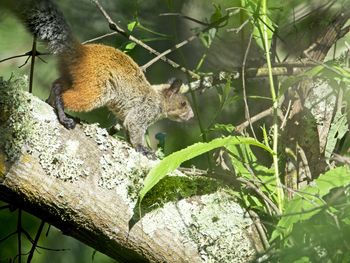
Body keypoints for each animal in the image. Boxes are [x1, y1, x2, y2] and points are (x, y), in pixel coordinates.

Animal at [3, 0, 194, 157]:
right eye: (183, 103)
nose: (191, 116)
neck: (158, 98)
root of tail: (80, 52)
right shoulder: (142, 111)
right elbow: (134, 130)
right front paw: (143, 149)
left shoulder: (126, 116)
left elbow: (127, 129)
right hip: (96, 90)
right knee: (65, 97)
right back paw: (64, 116)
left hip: (71, 78)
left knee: (57, 85)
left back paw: (51, 102)